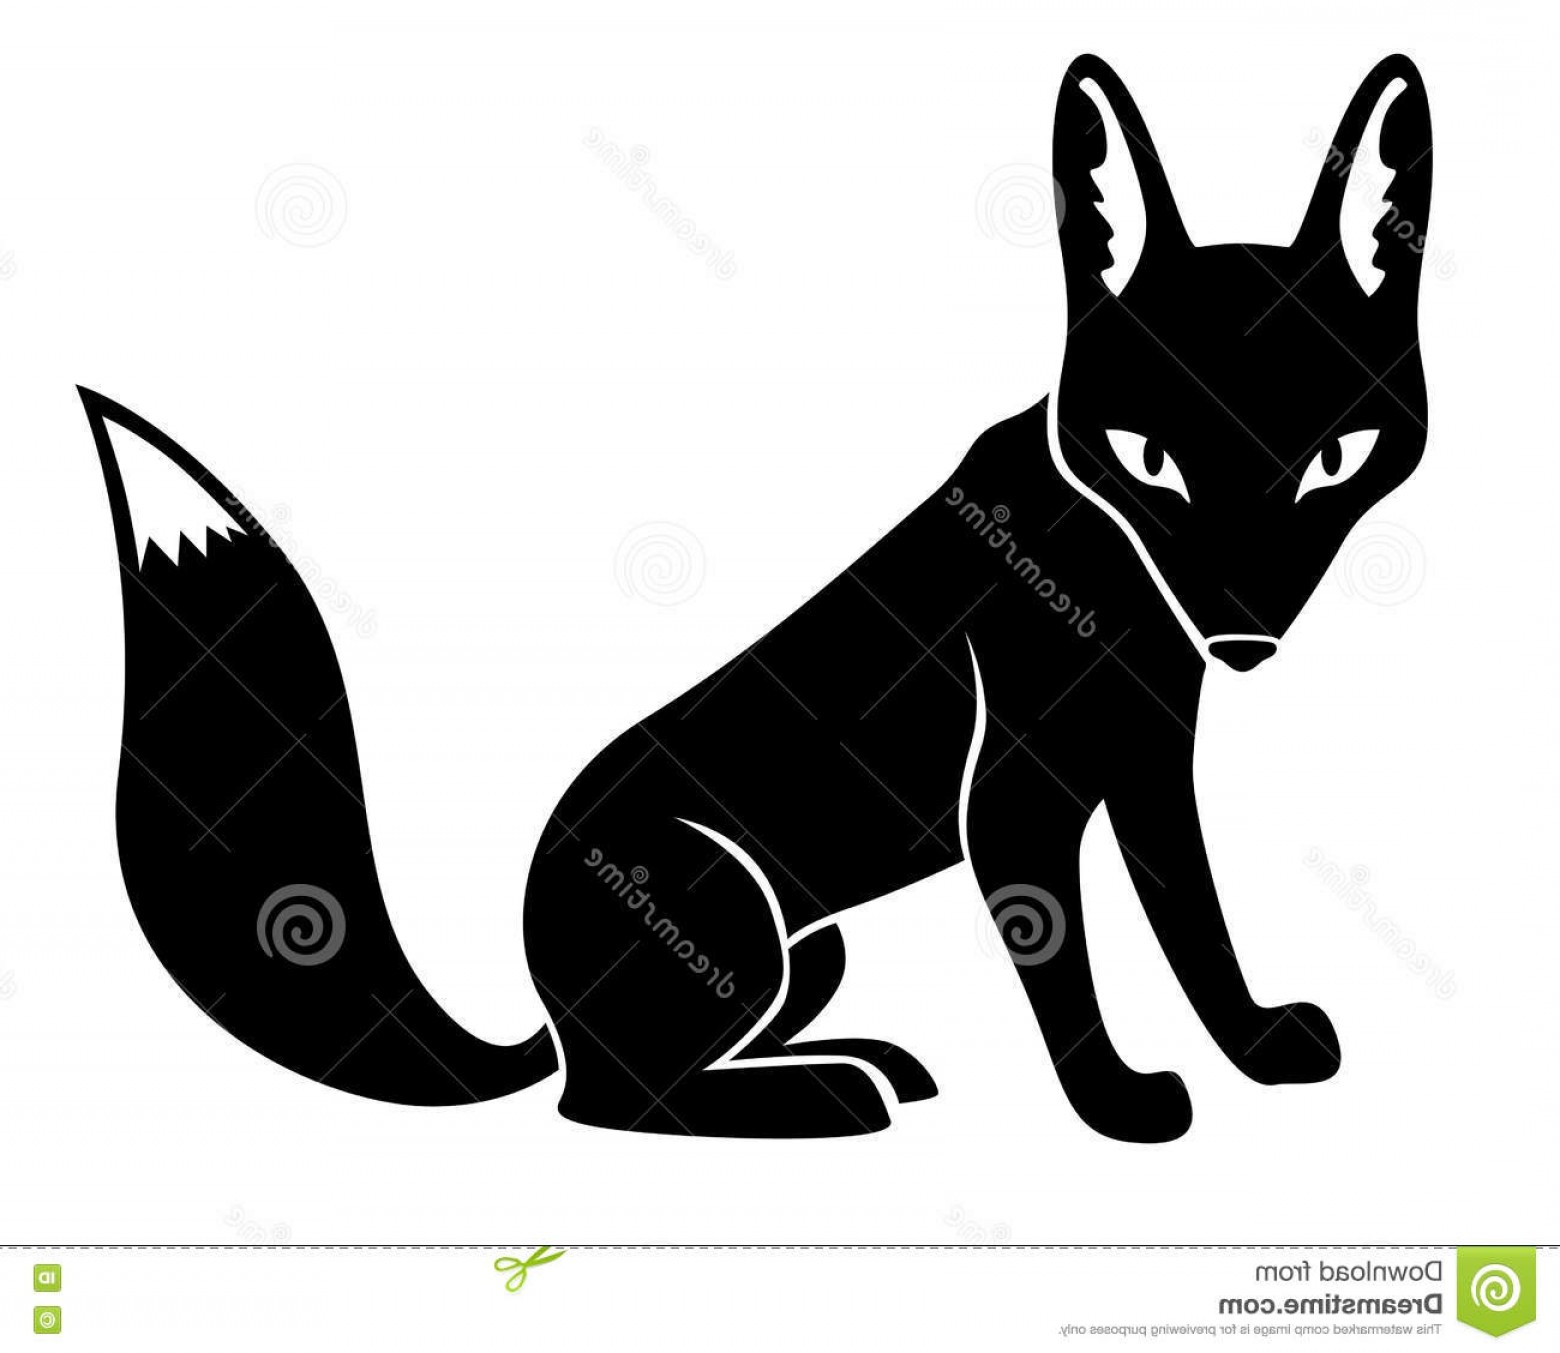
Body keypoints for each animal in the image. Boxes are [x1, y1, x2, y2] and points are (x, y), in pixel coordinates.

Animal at [85, 53, 1430, 1142]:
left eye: (1336, 458)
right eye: (1152, 458)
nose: (1243, 628)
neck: (1111, 576)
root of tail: (534, 1001)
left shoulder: (1150, 772)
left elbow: (1198, 926)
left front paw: (1254, 1047)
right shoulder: (1016, 803)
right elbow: (1068, 962)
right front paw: (1116, 1104)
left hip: (803, 946)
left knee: (659, 1071)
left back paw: (863, 1059)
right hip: (721, 897)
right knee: (612, 1102)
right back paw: (829, 1096)